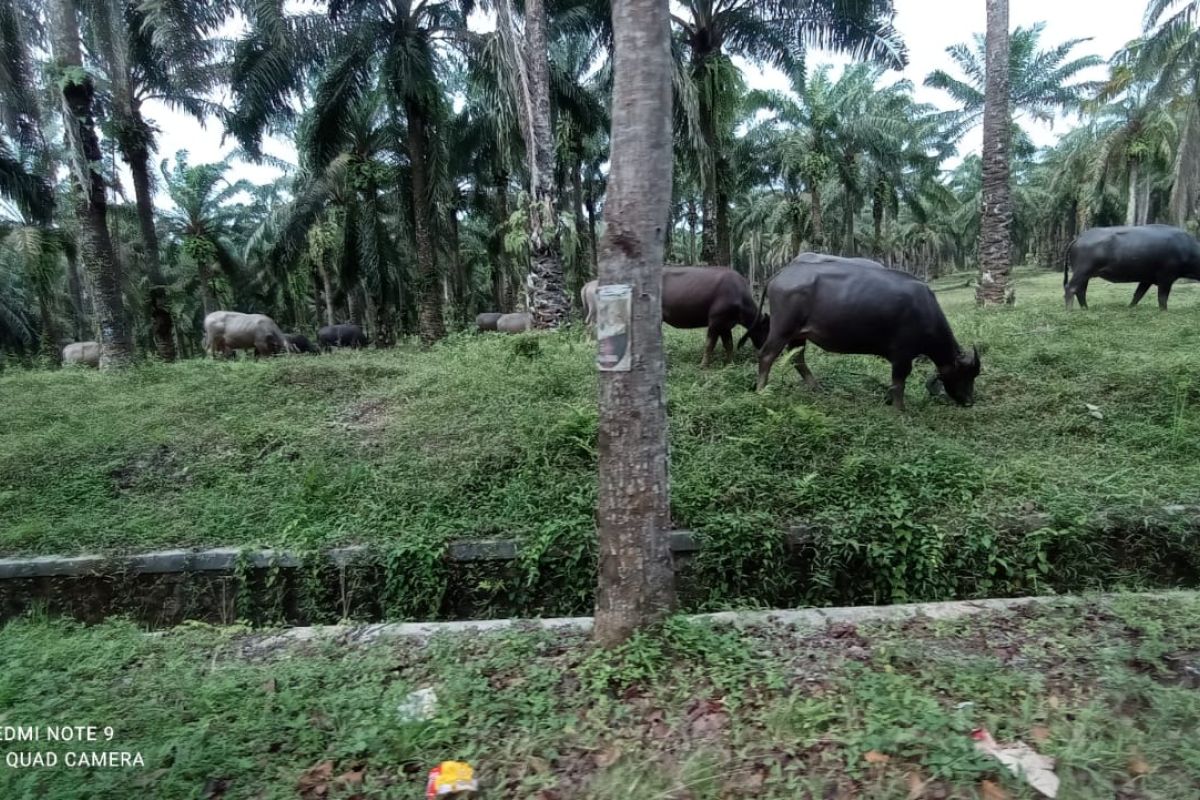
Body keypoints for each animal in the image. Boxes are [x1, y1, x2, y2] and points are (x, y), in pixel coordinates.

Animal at [753, 253, 979, 410]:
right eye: (966, 374)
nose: (969, 401)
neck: (924, 310)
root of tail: (780, 275)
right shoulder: (902, 356)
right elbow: (899, 383)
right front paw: (900, 409)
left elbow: (894, 383)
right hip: (782, 330)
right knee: (767, 355)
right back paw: (761, 390)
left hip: (799, 335)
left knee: (797, 359)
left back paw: (816, 387)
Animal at [1065, 226, 1200, 314]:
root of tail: (1080, 238)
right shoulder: (1166, 278)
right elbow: (1162, 298)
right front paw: (1164, 312)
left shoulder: (1147, 280)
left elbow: (1138, 295)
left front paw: (1129, 308)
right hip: (1082, 272)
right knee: (1071, 288)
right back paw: (1069, 311)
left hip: (1085, 275)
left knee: (1081, 291)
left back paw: (1085, 309)